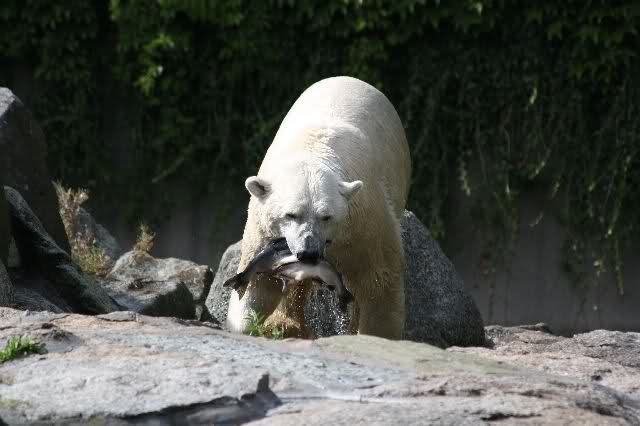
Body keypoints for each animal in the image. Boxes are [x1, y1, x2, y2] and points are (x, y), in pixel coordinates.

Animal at [226, 76, 411, 339]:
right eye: (290, 214)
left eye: (326, 216)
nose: (309, 252)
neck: (312, 148)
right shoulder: (263, 229)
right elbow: (260, 281)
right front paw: (245, 323)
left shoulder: (363, 221)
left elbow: (378, 279)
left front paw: (375, 335)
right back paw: (286, 325)